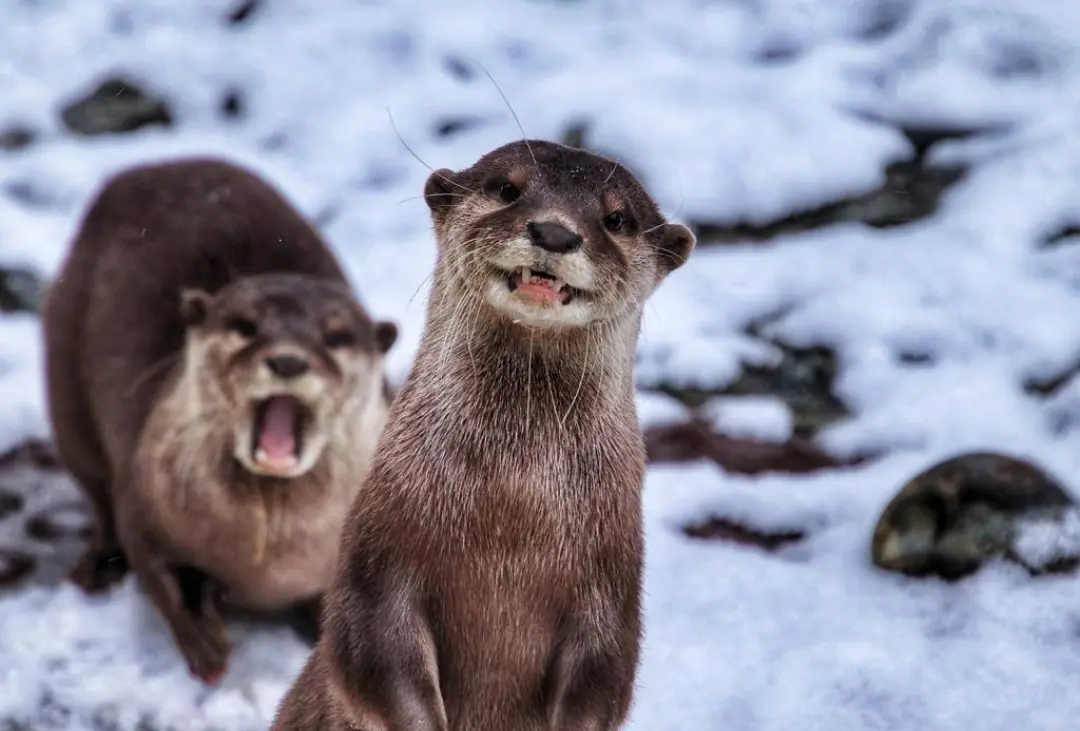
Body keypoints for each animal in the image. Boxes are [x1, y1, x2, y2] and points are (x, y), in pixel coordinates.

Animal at [41, 158, 397, 683]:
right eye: (244, 326)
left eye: (336, 336)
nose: (288, 360)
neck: (269, 562)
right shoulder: (143, 496)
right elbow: (159, 572)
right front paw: (206, 643)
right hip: (65, 378)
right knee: (96, 493)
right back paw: (97, 568)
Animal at [271, 139, 695, 731]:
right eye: (507, 189)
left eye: (616, 219)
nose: (555, 232)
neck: (513, 503)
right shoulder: (377, 566)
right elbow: (373, 660)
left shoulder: (611, 593)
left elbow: (605, 680)